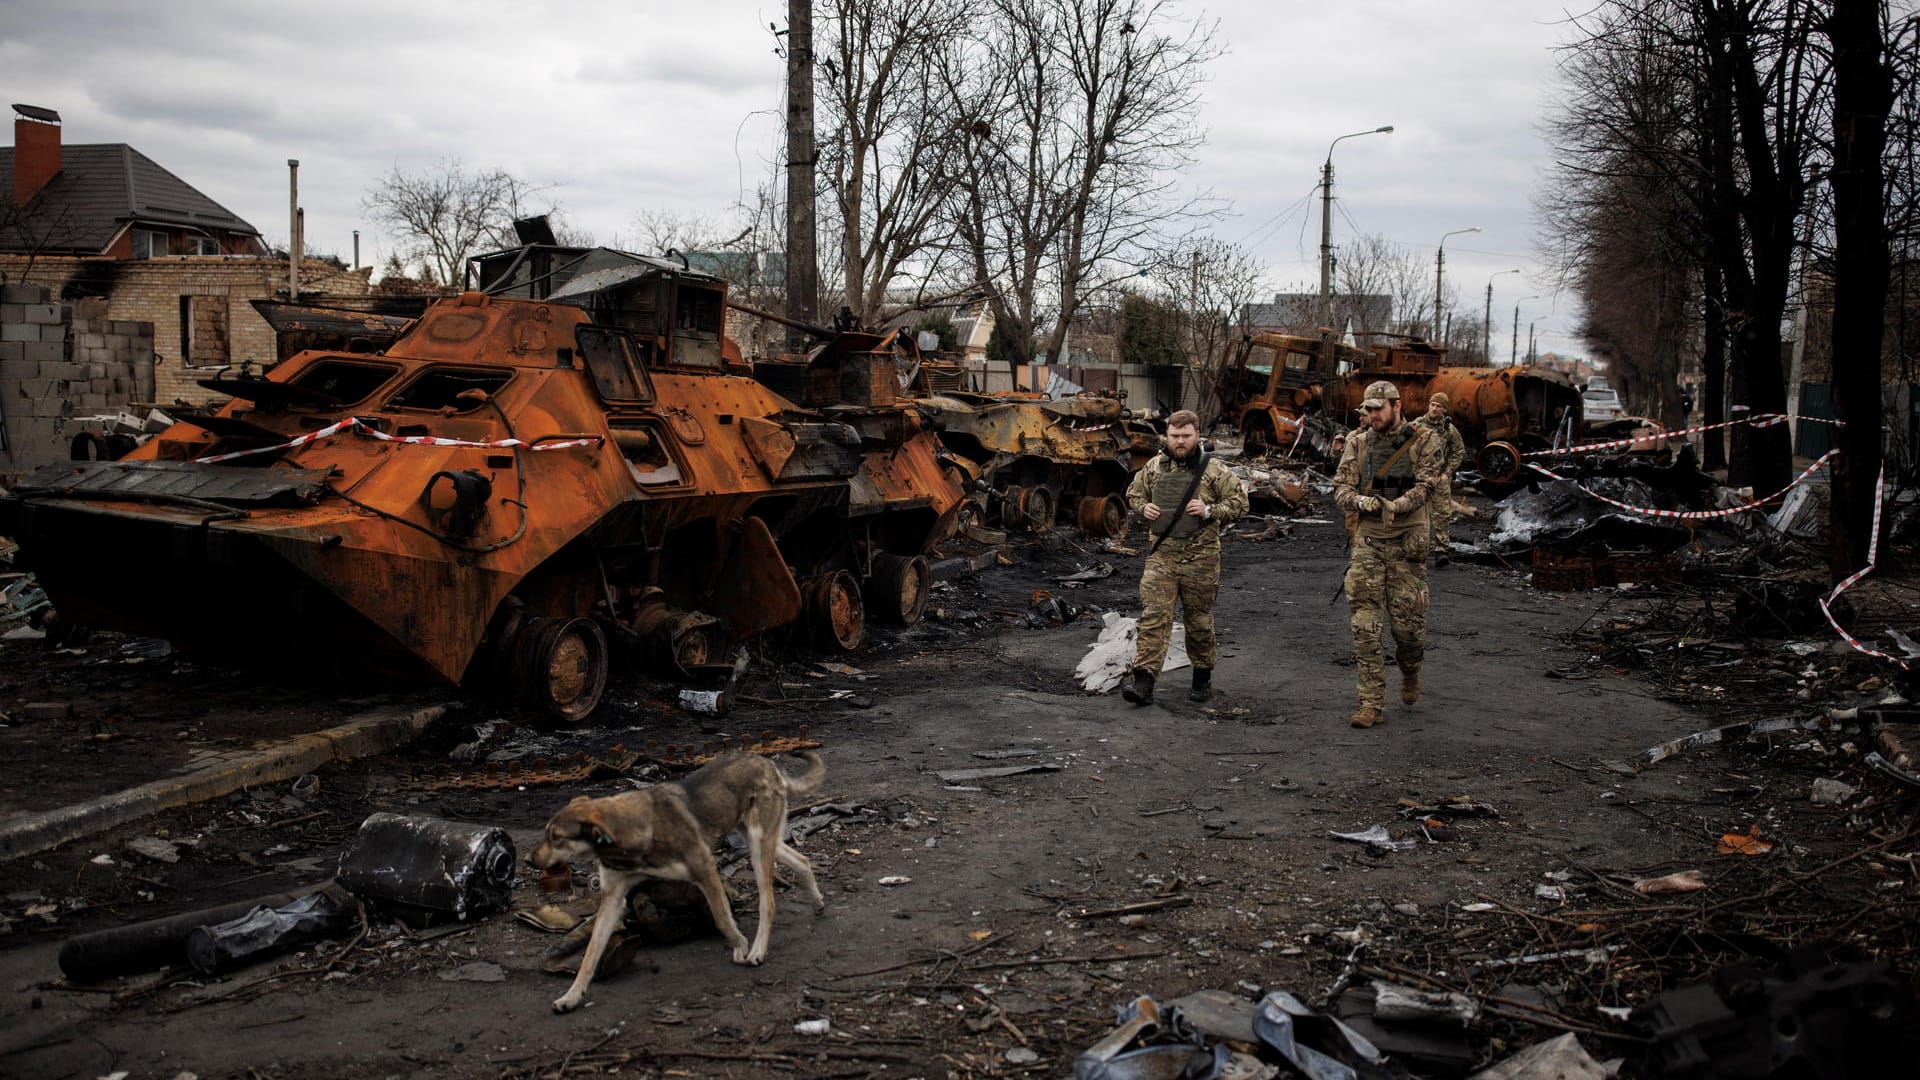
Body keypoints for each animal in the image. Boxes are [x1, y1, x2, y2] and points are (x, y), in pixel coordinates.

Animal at [526, 749, 825, 1006]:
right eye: (545, 833)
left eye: (556, 837)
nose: (528, 860)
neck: (629, 833)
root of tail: (767, 763)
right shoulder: (612, 899)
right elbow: (590, 955)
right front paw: (572, 996)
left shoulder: (705, 870)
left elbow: (722, 919)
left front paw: (740, 945)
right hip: (760, 841)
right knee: (802, 861)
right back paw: (817, 901)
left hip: (758, 845)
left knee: (768, 903)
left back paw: (758, 951)